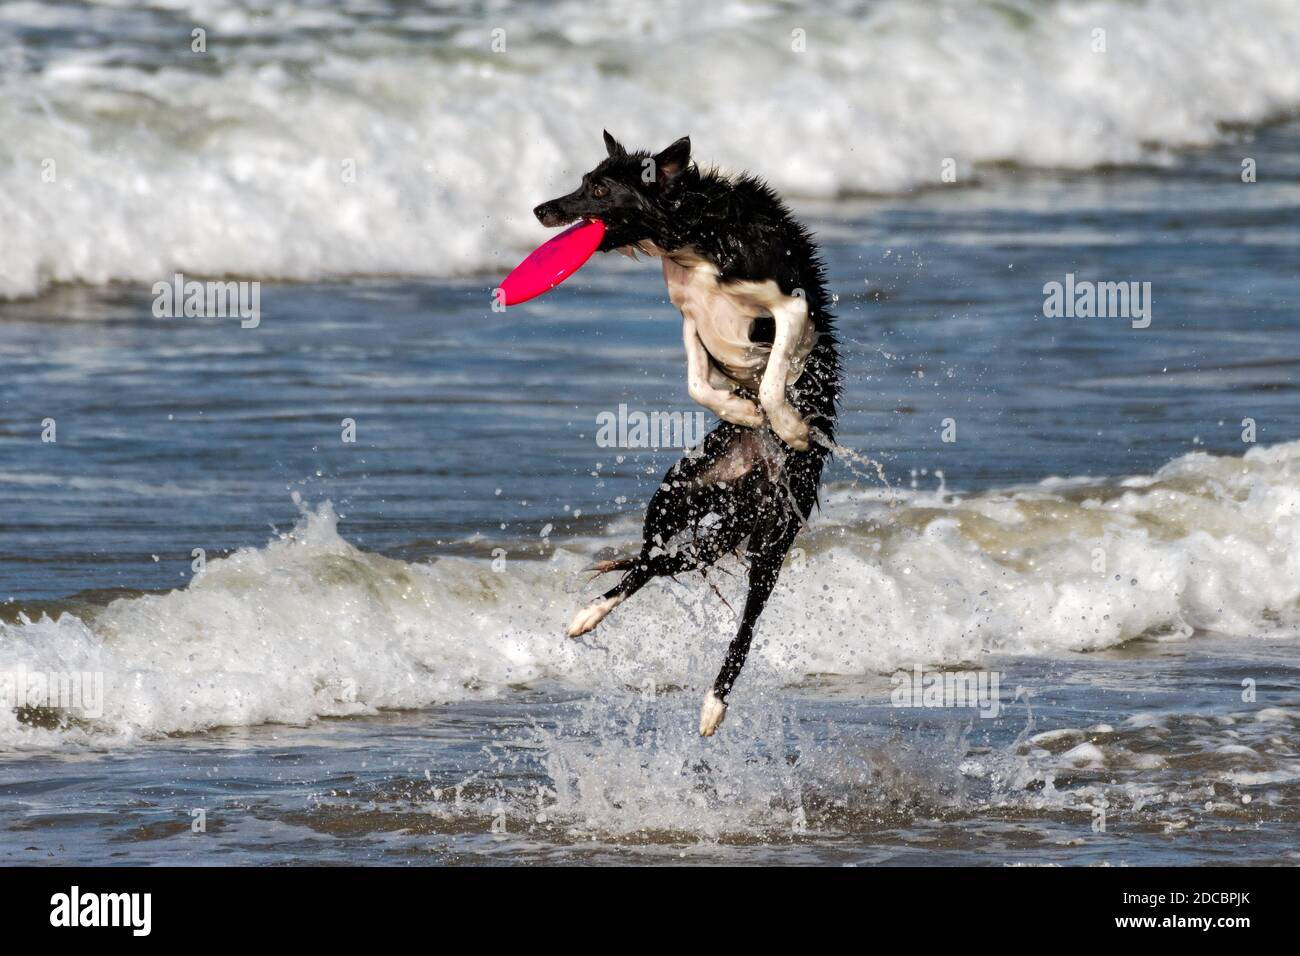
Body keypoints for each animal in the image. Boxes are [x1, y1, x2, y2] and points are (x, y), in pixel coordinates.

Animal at [530, 132, 842, 733]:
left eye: (599, 190)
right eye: (583, 181)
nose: (541, 210)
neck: (693, 233)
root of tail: (751, 483)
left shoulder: (790, 305)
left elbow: (774, 377)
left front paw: (785, 424)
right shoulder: (689, 317)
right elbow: (697, 380)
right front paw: (741, 410)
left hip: (775, 531)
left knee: (745, 621)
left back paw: (713, 704)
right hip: (680, 490)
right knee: (651, 560)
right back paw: (588, 615)